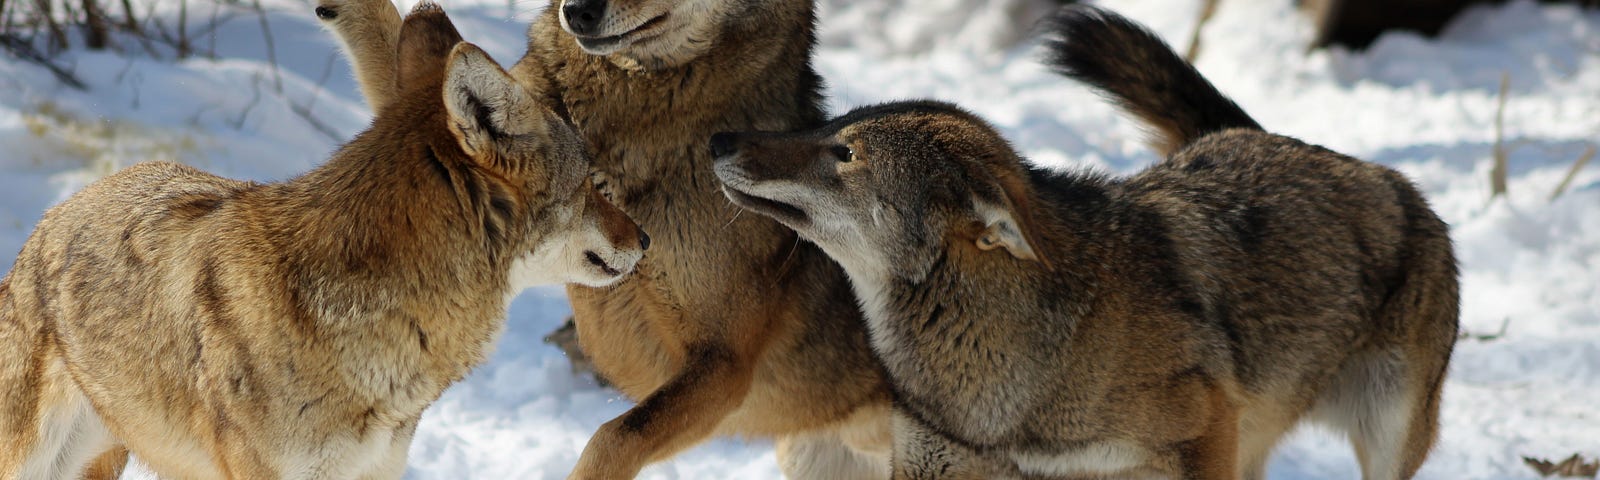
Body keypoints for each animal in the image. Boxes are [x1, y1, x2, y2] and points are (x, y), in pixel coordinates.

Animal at [713, 4, 1465, 480]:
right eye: (829, 125)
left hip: (1387, 436)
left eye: (842, 153)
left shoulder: (1200, 440)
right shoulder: (936, 462)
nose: (718, 138)